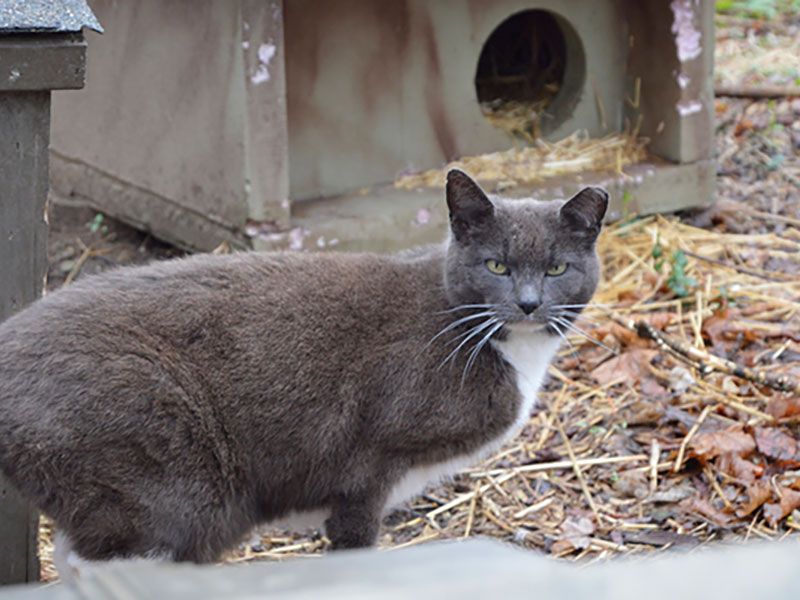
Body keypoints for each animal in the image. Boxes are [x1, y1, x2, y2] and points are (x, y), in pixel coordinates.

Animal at [0, 168, 604, 572]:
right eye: (496, 265)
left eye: (557, 268)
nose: (528, 303)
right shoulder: (370, 462)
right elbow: (355, 541)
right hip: (162, 473)